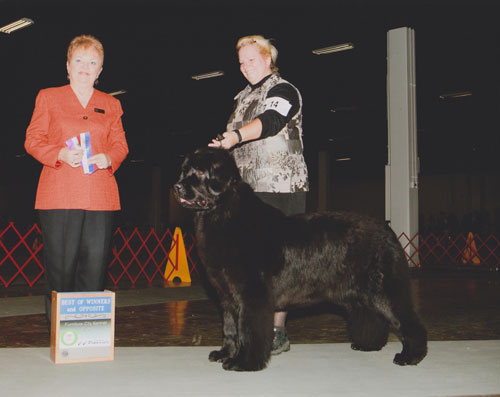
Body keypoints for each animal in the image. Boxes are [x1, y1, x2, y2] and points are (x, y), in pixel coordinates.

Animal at [174, 146, 428, 372]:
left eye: (199, 173)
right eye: (184, 171)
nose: (177, 187)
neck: (223, 214)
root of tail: (387, 229)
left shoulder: (252, 295)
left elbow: (248, 329)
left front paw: (244, 362)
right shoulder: (227, 296)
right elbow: (229, 328)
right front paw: (225, 353)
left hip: (385, 289)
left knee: (407, 321)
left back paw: (410, 356)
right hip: (360, 293)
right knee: (371, 316)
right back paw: (368, 345)